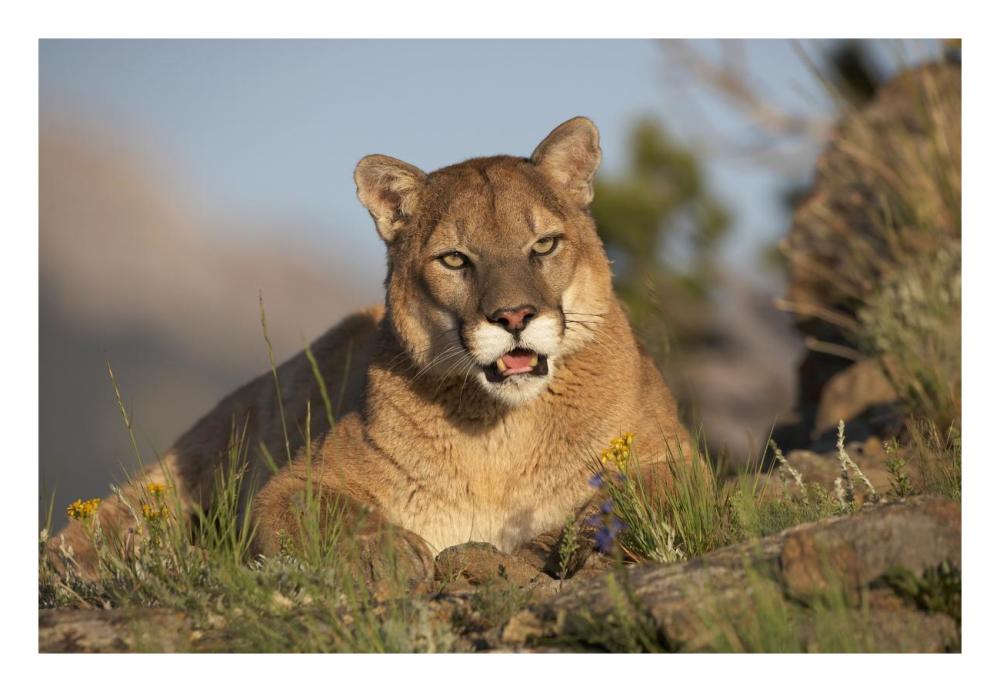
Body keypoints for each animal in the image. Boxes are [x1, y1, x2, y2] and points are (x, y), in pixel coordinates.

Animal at [51, 117, 690, 581]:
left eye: (545, 245)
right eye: (455, 259)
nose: (513, 317)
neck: (503, 437)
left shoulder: (677, 458)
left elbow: (649, 493)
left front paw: (578, 539)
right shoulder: (292, 485)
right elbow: (326, 513)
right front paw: (390, 551)